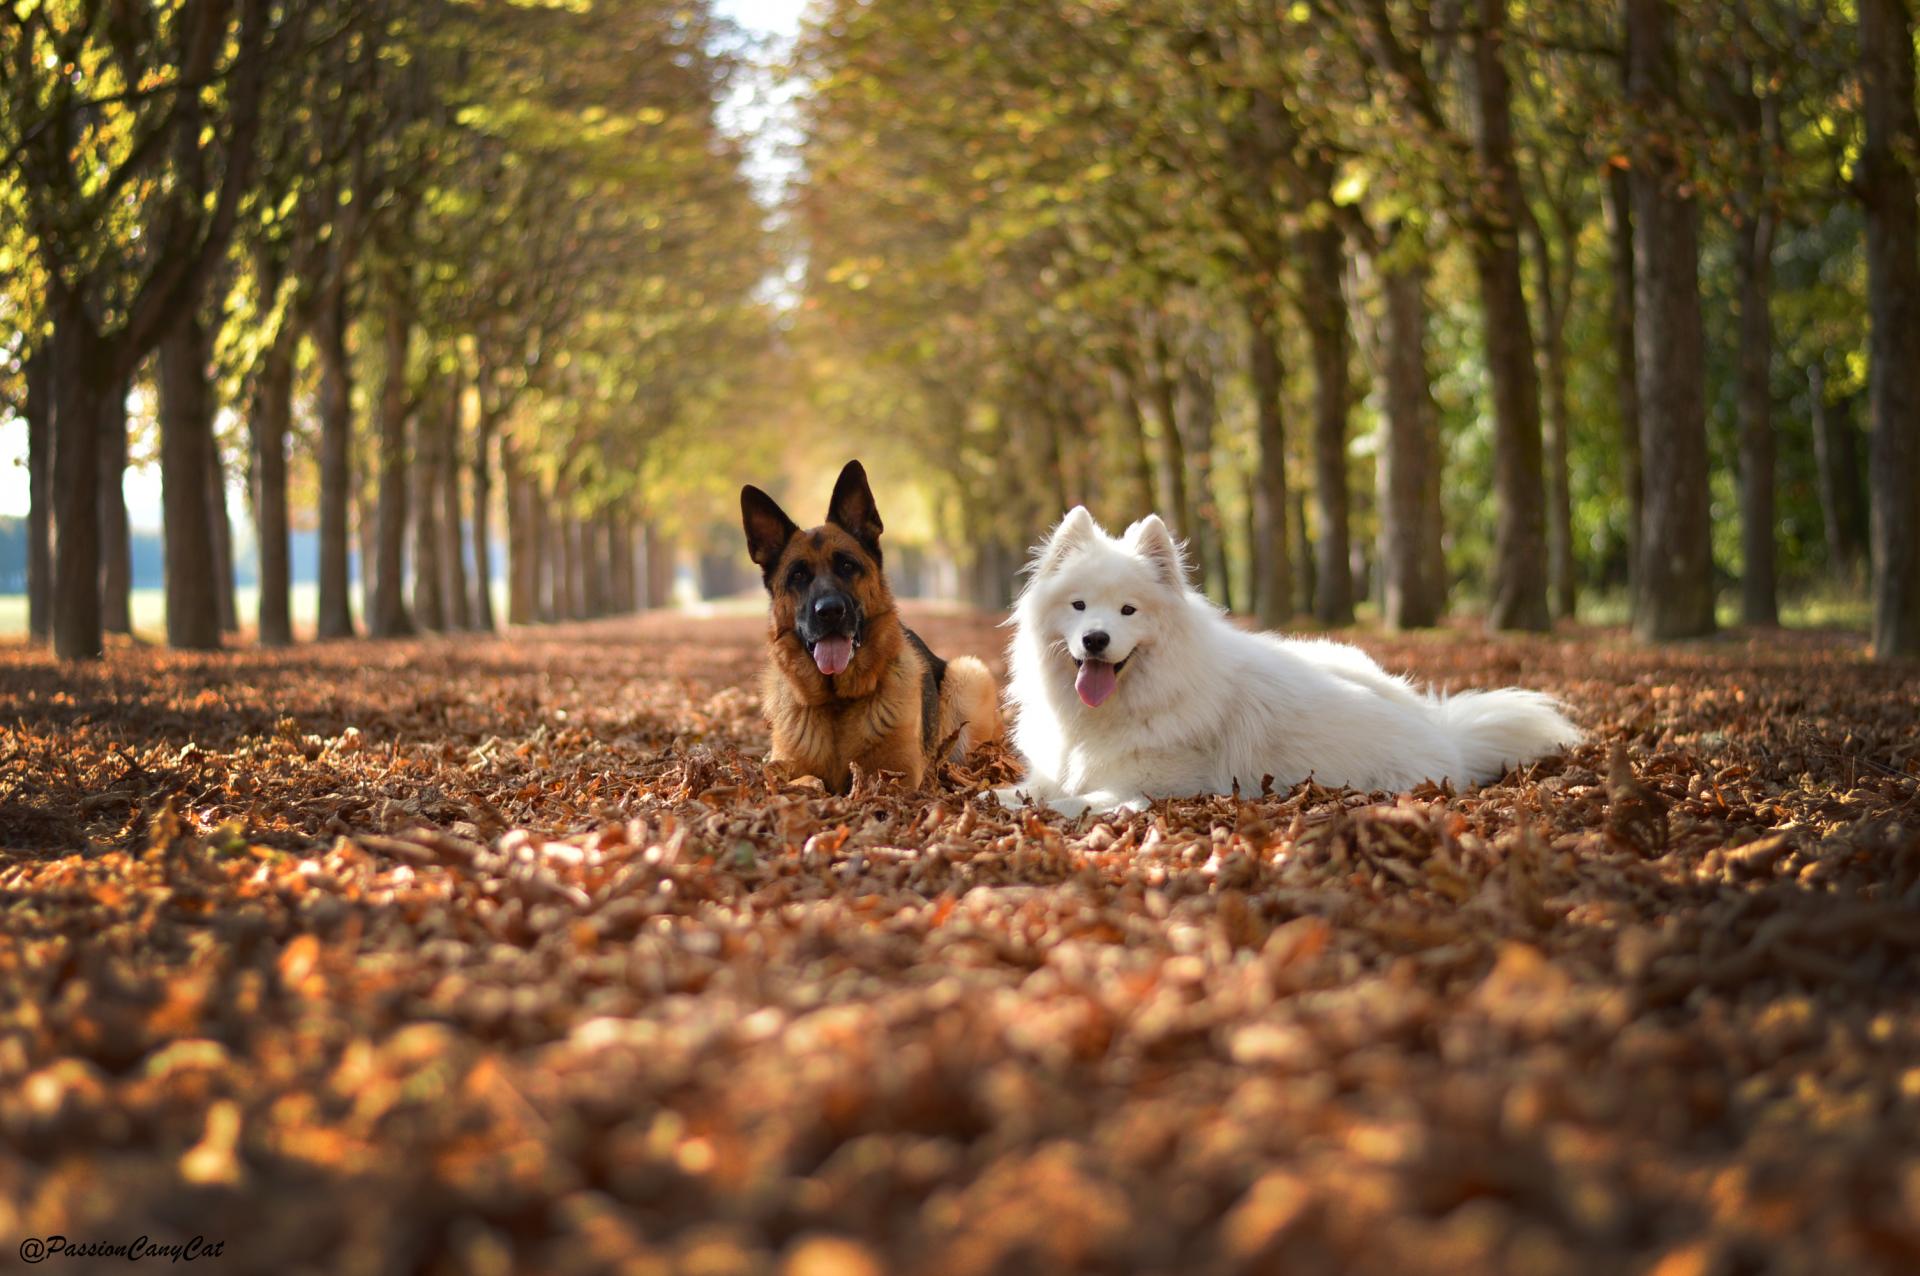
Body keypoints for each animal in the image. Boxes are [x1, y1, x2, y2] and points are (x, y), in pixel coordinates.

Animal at [737, 462, 1006, 790]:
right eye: (798, 575)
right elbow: (804, 780)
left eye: (847, 565)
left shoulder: (898, 777)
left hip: (969, 673)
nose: (830, 611)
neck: (836, 704)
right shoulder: (784, 769)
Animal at [998, 502, 1582, 809]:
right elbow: (1029, 789)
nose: (1095, 640)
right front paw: (997, 800)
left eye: (1128, 611)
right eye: (1079, 606)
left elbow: (1075, 800)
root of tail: (1450, 738)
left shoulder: (1152, 786)